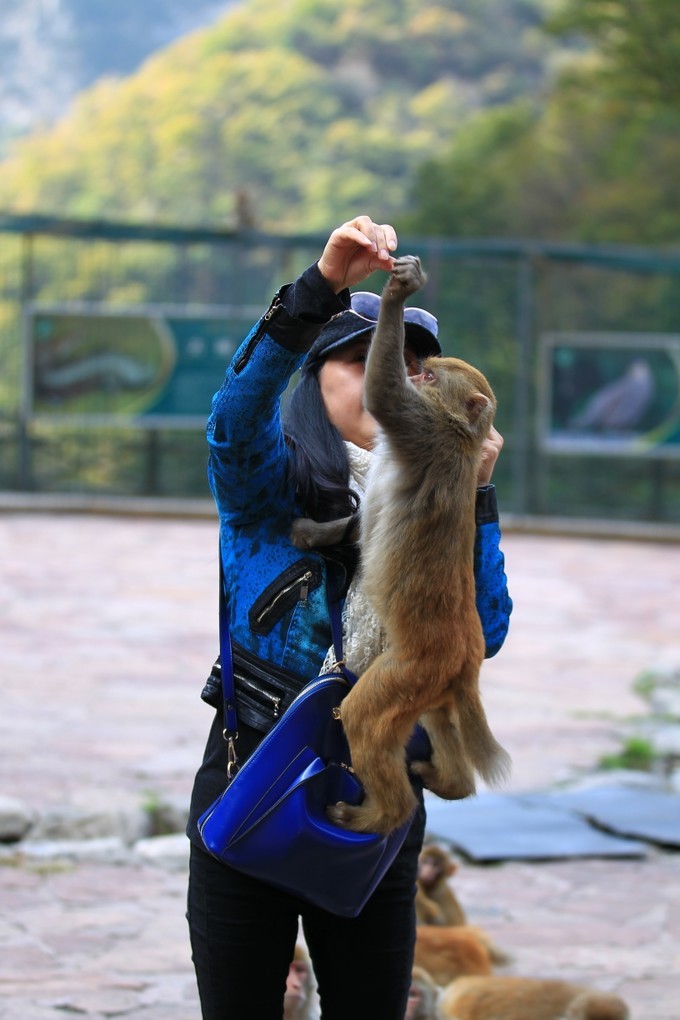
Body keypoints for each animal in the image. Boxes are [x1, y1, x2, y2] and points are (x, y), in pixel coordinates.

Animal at [293, 255, 509, 836]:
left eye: (428, 374)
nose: (417, 371)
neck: (460, 434)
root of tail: (464, 662)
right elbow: (357, 523)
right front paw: (317, 533)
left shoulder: (420, 425)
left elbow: (383, 394)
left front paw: (400, 288)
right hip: (431, 684)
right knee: (434, 716)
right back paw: (450, 781)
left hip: (410, 670)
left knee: (363, 716)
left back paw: (376, 814)